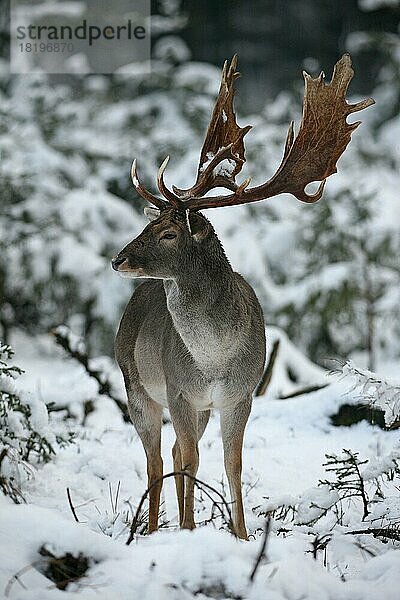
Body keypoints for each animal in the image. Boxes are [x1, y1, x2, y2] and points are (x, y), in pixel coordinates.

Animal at [111, 54, 372, 540]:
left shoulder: (240, 395)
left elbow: (231, 462)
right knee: (156, 459)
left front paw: (242, 535)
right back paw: (152, 530)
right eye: (149, 223)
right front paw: (190, 529)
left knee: (170, 454)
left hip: (192, 405)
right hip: (136, 385)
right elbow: (191, 460)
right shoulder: (179, 390)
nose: (119, 259)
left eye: (169, 231)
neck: (214, 357)